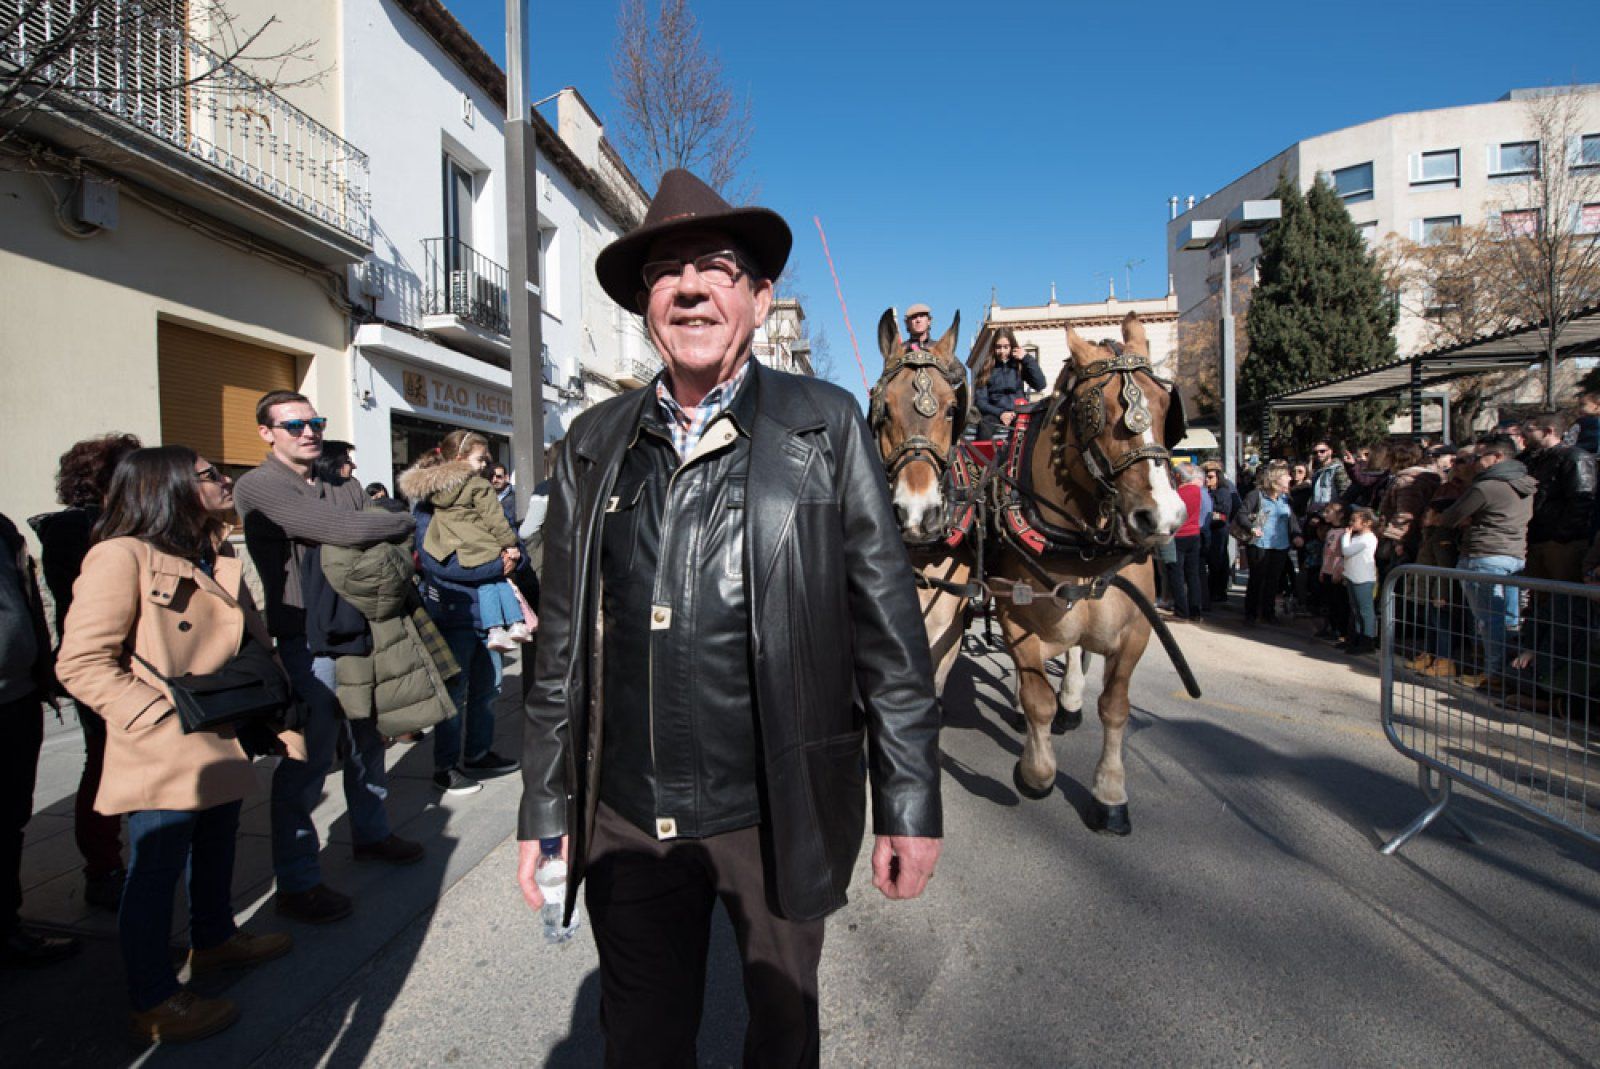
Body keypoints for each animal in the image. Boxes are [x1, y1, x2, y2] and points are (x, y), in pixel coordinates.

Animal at [998, 310, 1190, 832]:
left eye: (1164, 403)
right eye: (1094, 408)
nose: (1163, 518)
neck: (1078, 546)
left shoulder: (1135, 628)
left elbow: (1115, 707)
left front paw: (1109, 793)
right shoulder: (1015, 618)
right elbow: (1035, 697)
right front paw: (1036, 772)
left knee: (1078, 655)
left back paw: (1071, 701)